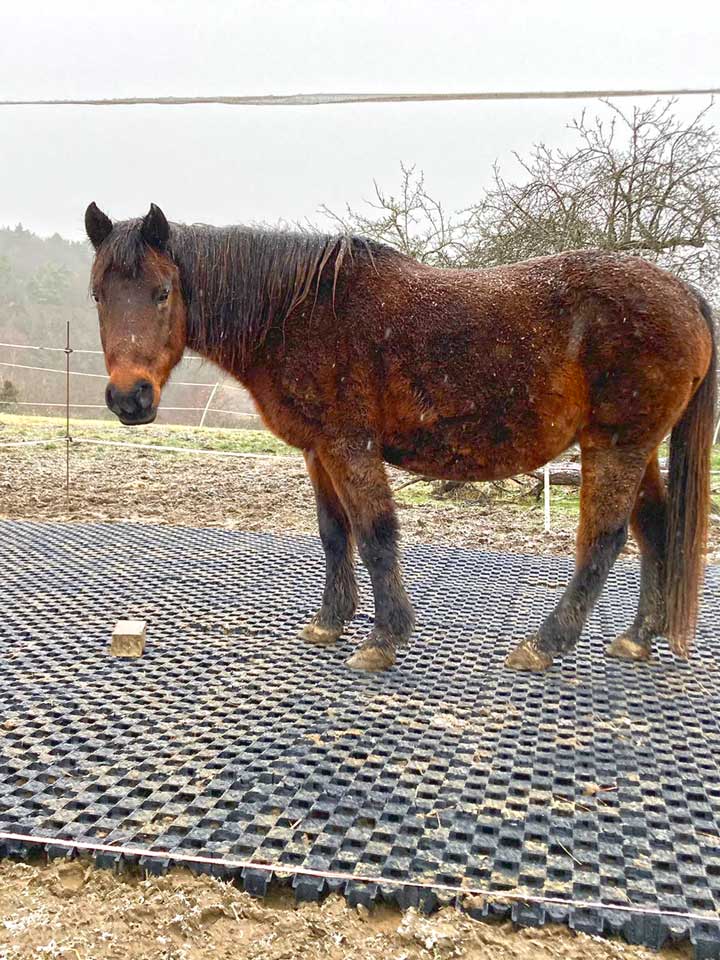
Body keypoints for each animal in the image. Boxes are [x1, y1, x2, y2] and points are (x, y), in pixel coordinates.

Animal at [85, 202, 717, 673]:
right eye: (98, 295)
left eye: (163, 292)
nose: (129, 398)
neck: (296, 311)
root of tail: (684, 293)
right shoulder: (319, 451)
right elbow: (333, 533)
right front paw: (330, 622)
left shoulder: (351, 446)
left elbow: (375, 534)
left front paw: (383, 638)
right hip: (638, 448)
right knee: (655, 529)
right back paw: (637, 637)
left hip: (616, 445)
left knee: (604, 540)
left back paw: (545, 643)